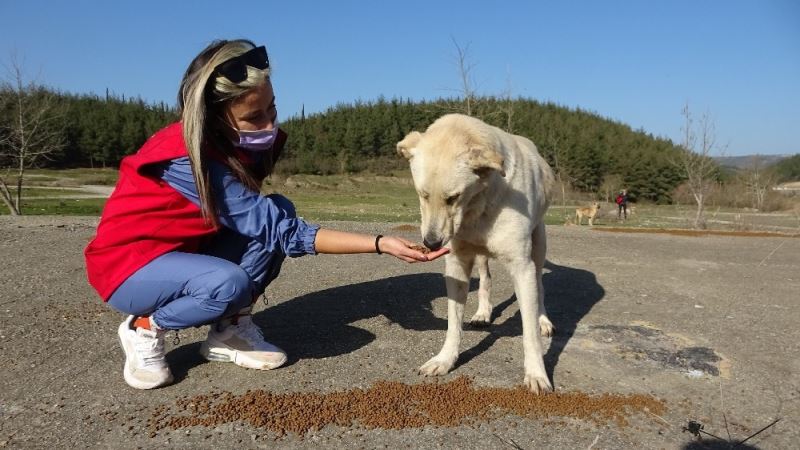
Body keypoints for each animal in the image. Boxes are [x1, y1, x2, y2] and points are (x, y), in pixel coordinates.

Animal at [396, 113, 556, 394]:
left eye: (453, 197)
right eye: (422, 194)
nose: (431, 243)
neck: (479, 205)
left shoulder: (522, 266)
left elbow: (529, 334)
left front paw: (536, 373)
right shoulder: (457, 263)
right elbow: (453, 323)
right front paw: (445, 360)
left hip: (538, 247)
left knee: (540, 285)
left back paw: (543, 320)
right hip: (480, 255)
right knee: (485, 279)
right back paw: (483, 313)